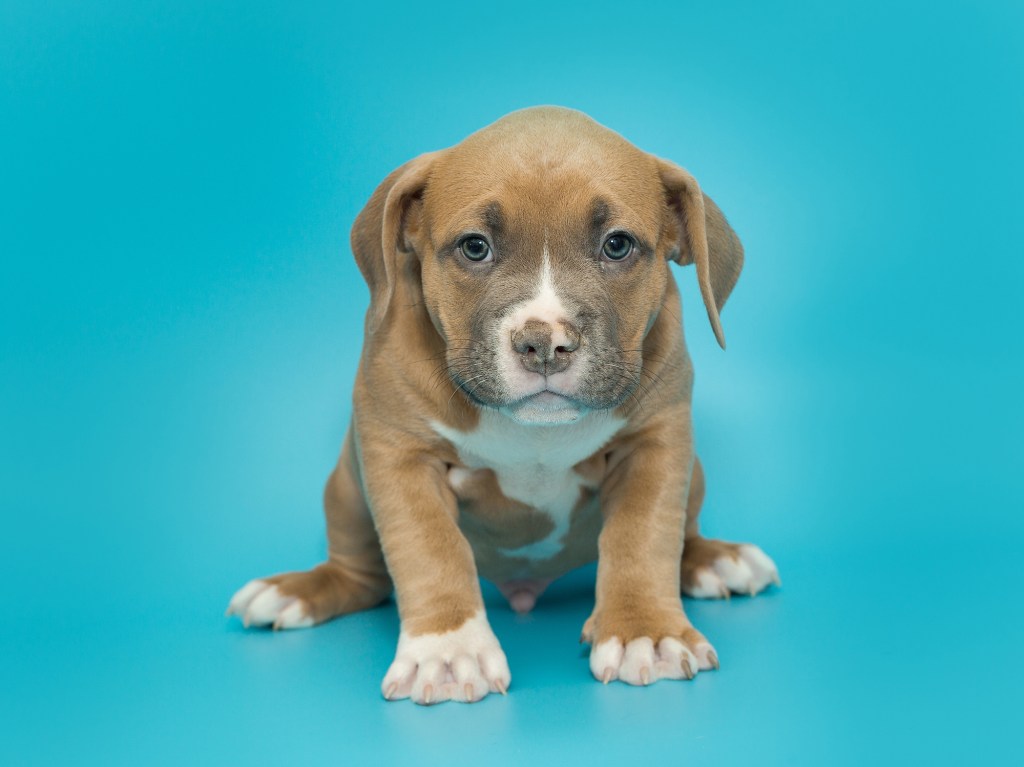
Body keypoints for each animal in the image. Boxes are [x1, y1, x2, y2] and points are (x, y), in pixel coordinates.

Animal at [228, 104, 778, 704]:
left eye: (617, 245)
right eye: (474, 246)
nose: (545, 342)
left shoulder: (656, 444)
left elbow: (644, 536)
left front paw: (644, 632)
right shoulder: (399, 455)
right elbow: (430, 548)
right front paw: (447, 650)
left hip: (693, 473)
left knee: (682, 532)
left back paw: (713, 559)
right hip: (347, 489)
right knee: (362, 575)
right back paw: (297, 591)